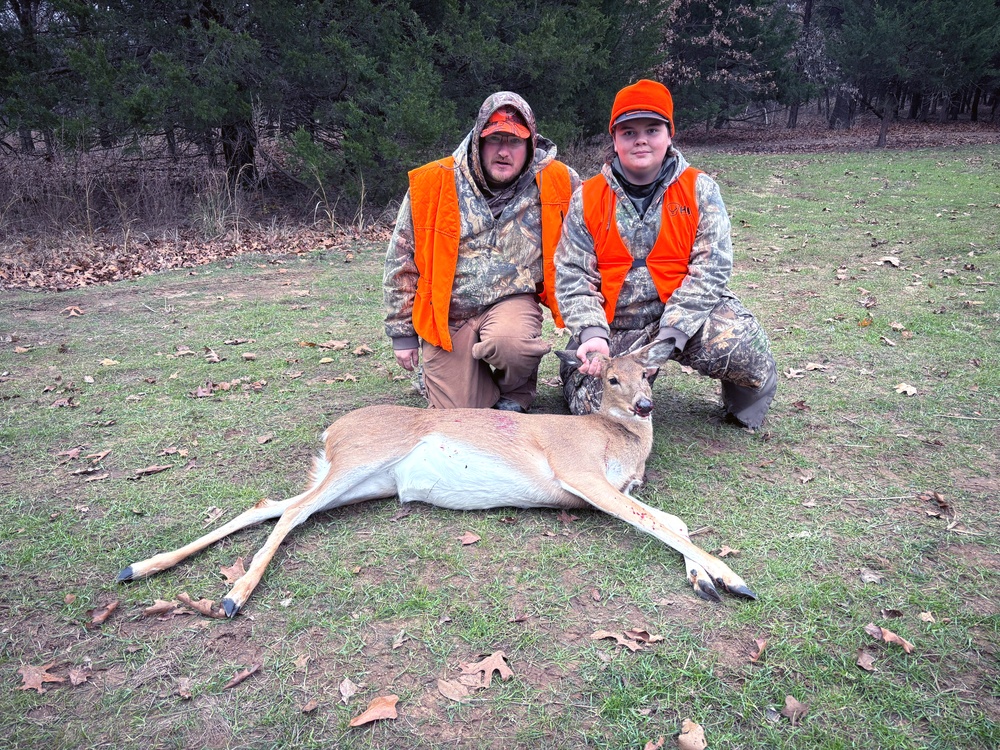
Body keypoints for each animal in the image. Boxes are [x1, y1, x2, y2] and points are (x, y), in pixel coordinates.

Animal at [117, 340, 756, 616]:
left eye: (648, 375)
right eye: (612, 380)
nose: (646, 405)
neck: (619, 444)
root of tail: (330, 433)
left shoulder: (614, 489)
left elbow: (670, 520)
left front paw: (705, 579)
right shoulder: (578, 472)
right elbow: (659, 521)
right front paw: (731, 577)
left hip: (362, 482)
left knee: (269, 504)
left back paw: (141, 567)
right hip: (358, 462)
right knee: (290, 512)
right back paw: (232, 595)